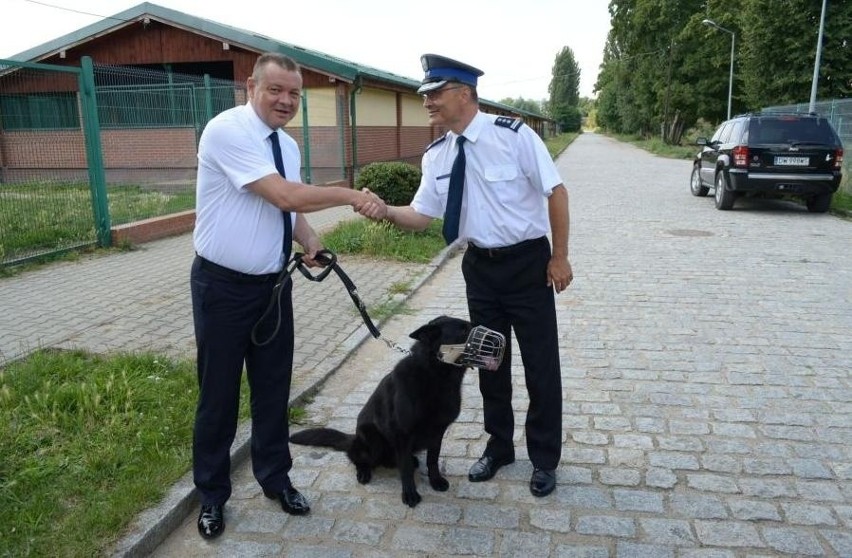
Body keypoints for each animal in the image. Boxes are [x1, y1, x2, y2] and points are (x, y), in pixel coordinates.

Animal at [288, 318, 472, 510]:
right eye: (464, 330)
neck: (434, 376)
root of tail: (354, 438)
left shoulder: (437, 432)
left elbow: (433, 459)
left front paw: (435, 480)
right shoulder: (402, 435)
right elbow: (405, 469)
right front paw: (409, 493)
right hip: (373, 440)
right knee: (356, 456)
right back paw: (364, 471)